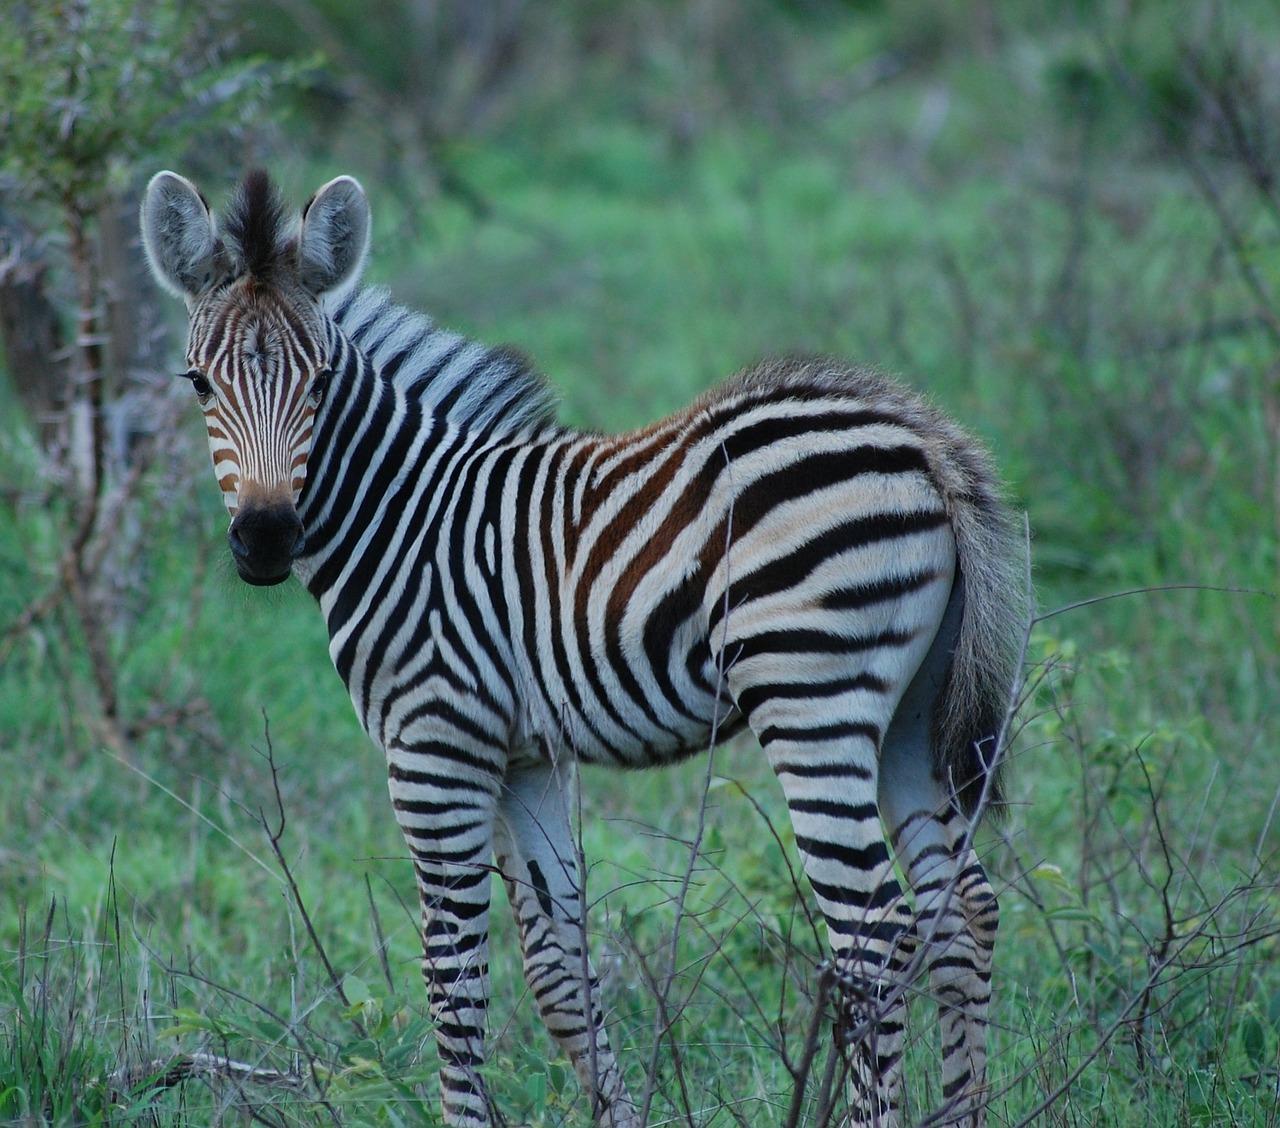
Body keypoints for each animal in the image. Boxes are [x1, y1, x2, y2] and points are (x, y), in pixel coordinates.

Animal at [140, 169, 1024, 1126]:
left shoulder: (435, 745)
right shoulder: (526, 757)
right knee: (961, 909)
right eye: (198, 383)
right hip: (911, 709)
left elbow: (452, 975)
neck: (404, 517)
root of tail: (920, 436)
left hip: (810, 698)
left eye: (320, 382)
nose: (265, 540)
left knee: (874, 931)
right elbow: (560, 971)